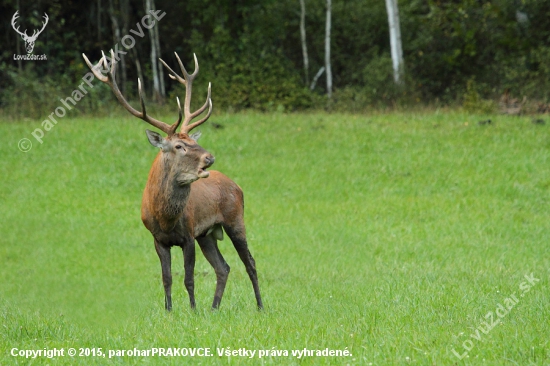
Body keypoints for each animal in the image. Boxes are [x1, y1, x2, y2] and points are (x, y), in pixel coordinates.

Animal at [81, 49, 264, 312]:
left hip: (234, 219)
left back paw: (259, 306)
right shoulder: (158, 239)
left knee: (249, 261)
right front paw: (169, 311)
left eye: (194, 141)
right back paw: (214, 308)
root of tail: (237, 186)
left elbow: (189, 278)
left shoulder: (188, 235)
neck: (166, 218)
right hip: (207, 235)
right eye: (179, 146)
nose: (210, 157)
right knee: (223, 267)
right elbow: (166, 278)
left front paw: (193, 310)